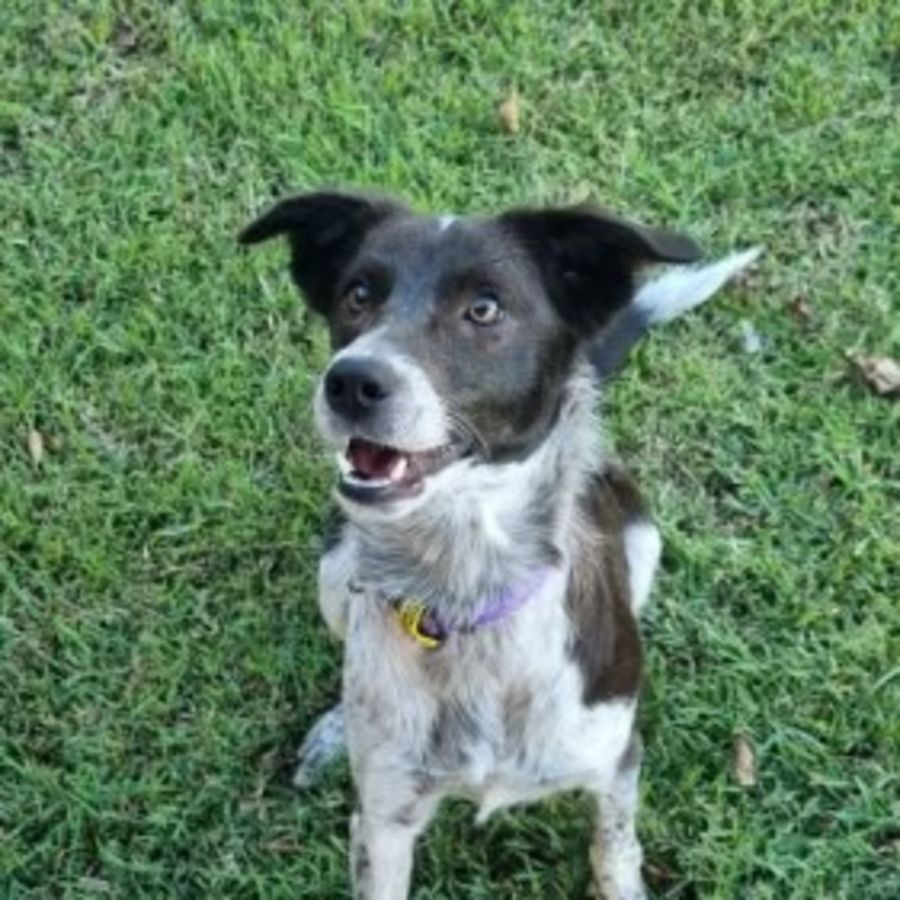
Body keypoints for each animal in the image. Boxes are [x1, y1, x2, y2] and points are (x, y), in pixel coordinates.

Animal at [240, 192, 758, 899]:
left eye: (484, 309)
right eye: (357, 295)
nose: (349, 381)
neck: (463, 588)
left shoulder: (617, 760)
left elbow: (615, 846)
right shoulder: (383, 822)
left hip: (643, 539)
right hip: (336, 567)